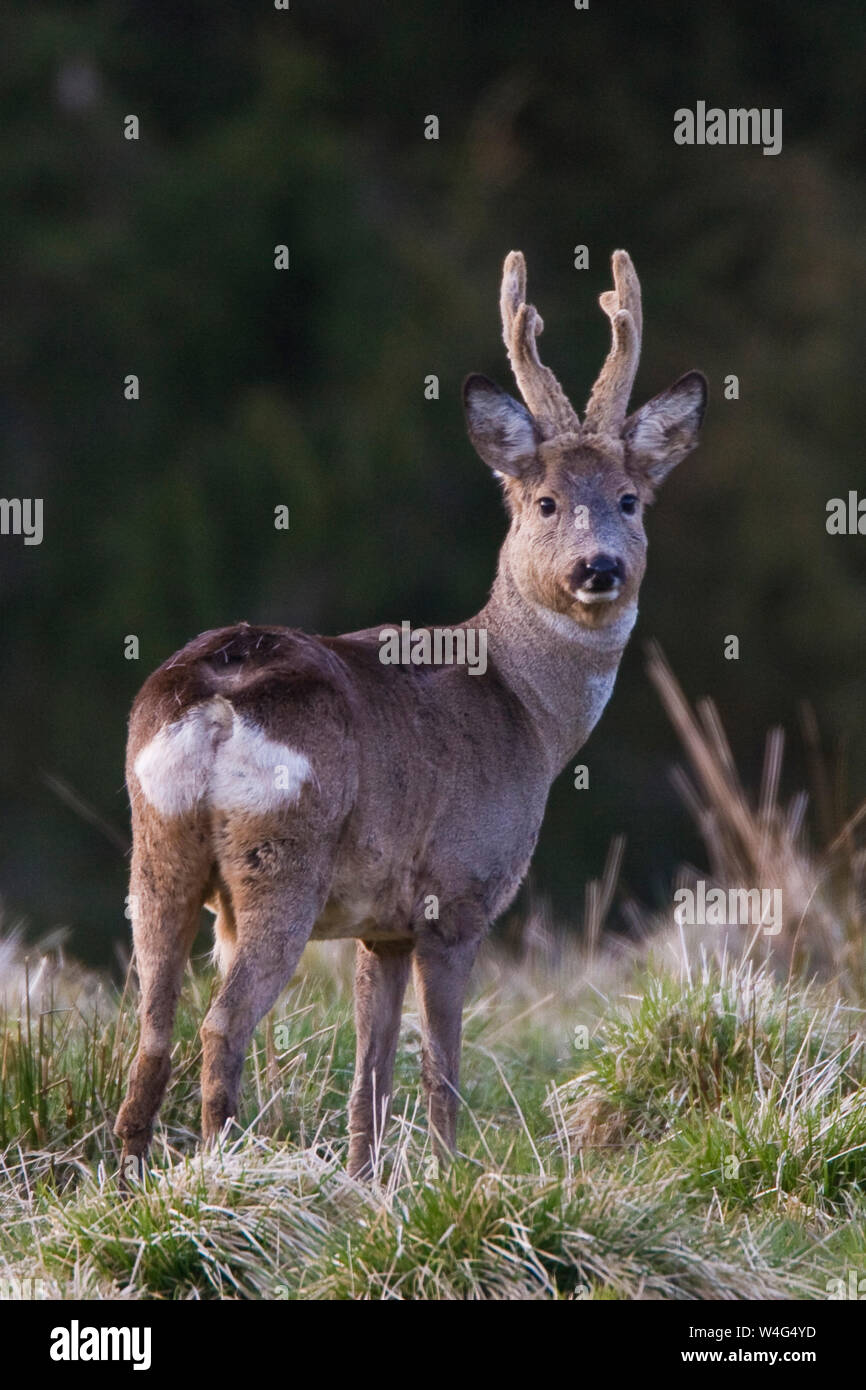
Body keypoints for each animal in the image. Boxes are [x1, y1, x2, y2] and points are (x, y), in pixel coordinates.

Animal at [115, 247, 708, 1173]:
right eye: (543, 501)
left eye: (630, 499)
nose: (598, 568)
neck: (527, 710)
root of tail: (213, 698)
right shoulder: (457, 894)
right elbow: (441, 1067)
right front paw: (449, 1177)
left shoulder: (381, 925)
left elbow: (371, 1072)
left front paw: (366, 1182)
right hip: (280, 857)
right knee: (220, 1024)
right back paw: (225, 1169)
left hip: (158, 849)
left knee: (150, 1033)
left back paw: (136, 1182)